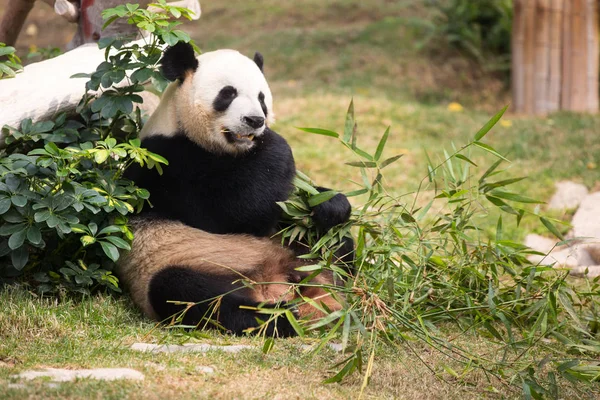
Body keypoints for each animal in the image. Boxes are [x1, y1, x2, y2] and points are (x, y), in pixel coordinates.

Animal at [118, 43, 352, 338]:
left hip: (300, 252)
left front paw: (329, 204)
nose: (255, 120)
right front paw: (275, 145)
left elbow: (286, 207)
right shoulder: (165, 165)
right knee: (190, 293)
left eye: (262, 98)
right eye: (228, 94)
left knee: (335, 247)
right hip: (182, 263)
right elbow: (235, 213)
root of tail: (274, 284)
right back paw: (279, 317)